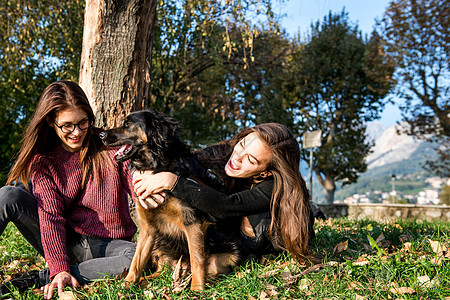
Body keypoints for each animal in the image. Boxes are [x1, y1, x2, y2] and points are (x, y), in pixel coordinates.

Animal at [99, 109, 239, 290]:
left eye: (127, 124)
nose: (101, 134)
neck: (155, 166)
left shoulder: (192, 222)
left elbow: (197, 259)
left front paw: (197, 289)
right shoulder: (147, 228)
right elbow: (136, 261)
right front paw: (127, 284)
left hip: (229, 254)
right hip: (160, 246)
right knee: (161, 271)